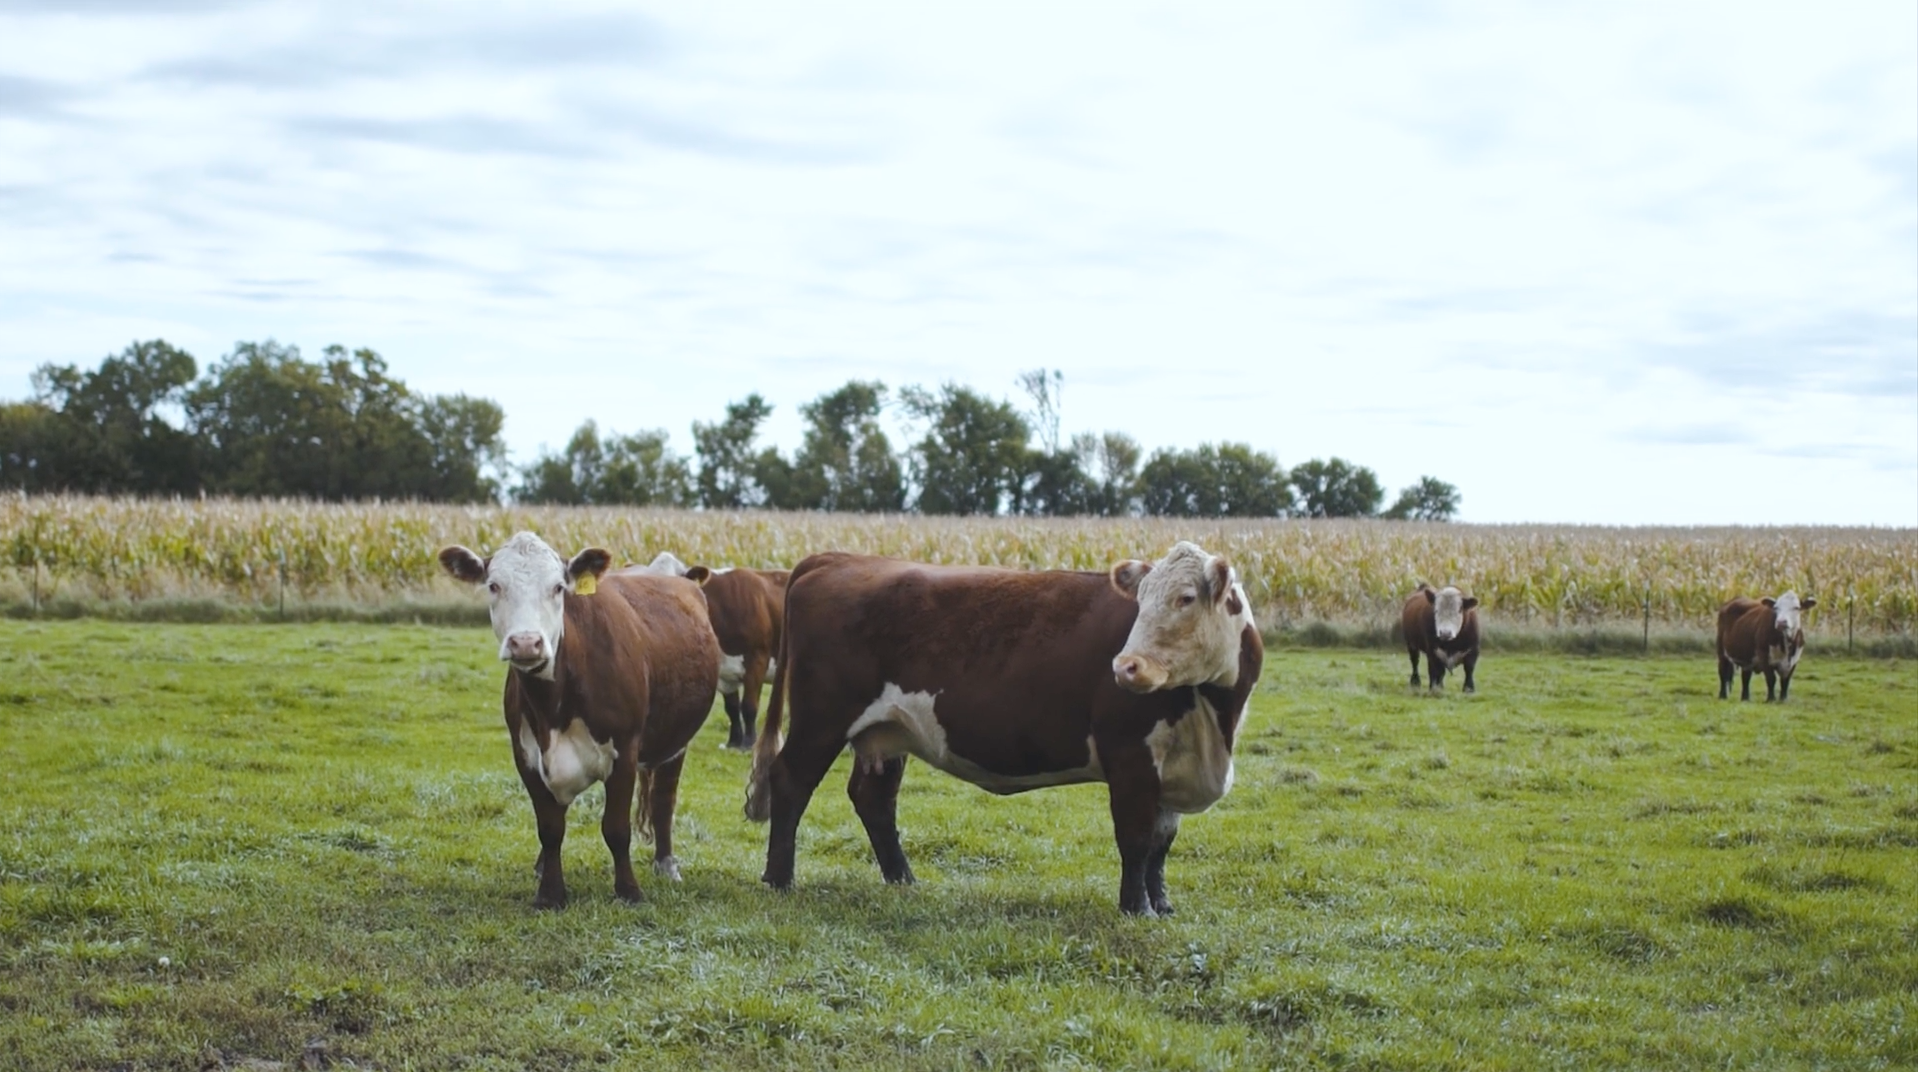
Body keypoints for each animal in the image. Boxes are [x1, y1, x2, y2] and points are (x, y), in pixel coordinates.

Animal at [439, 532, 720, 909]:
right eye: (494, 586)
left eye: (558, 587)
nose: (526, 643)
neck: (554, 707)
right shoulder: (527, 755)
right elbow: (550, 828)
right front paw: (550, 893)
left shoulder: (625, 751)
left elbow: (616, 828)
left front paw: (629, 891)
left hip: (675, 742)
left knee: (663, 801)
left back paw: (666, 864)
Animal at [630, 553, 789, 750]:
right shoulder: (724, 672)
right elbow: (732, 708)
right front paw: (733, 742)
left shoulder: (757, 658)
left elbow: (749, 706)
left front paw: (748, 743)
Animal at [744, 541, 1263, 917]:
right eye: (1139, 601)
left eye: (1186, 598)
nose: (1126, 667)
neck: (1212, 725)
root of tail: (836, 558)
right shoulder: (1131, 758)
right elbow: (1136, 839)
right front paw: (1137, 910)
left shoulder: (1171, 766)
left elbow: (1161, 843)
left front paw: (1163, 905)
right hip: (821, 718)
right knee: (790, 781)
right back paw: (780, 880)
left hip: (886, 731)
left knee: (874, 799)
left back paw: (904, 880)